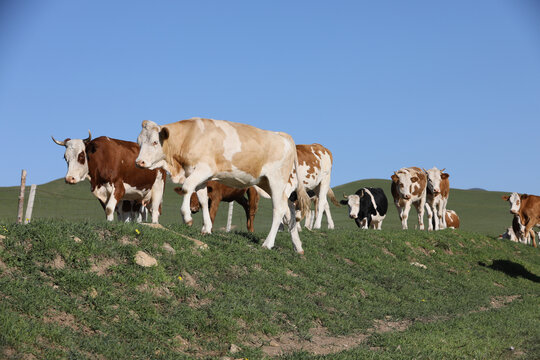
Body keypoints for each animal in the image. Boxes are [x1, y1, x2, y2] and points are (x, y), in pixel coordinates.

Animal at [135, 117, 310, 253]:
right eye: (139, 142)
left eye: (155, 142)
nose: (139, 162)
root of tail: (282, 135)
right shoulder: (201, 176)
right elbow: (203, 200)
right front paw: (207, 228)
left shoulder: (204, 169)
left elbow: (186, 188)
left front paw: (187, 217)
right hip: (268, 183)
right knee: (289, 210)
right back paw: (298, 247)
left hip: (276, 181)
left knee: (279, 210)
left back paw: (267, 244)